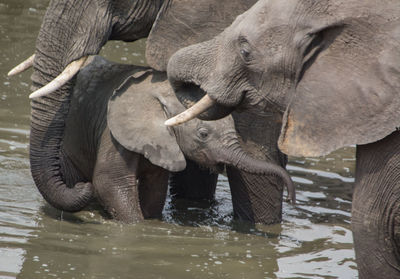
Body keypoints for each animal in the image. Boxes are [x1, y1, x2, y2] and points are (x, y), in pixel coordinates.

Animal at [57, 56, 294, 223]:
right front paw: (139, 226)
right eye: (203, 134)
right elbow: (109, 182)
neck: (163, 94)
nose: (291, 198)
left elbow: (155, 188)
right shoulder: (113, 131)